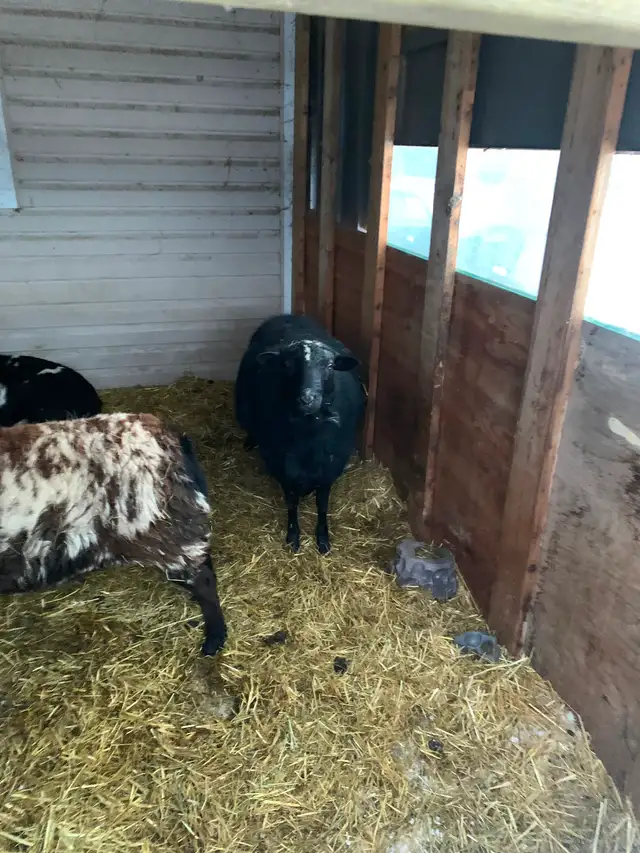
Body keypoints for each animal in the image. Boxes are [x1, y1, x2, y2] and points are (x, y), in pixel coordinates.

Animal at [235, 313, 366, 554]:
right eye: (287, 364)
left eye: (330, 366)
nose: (307, 398)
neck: (309, 436)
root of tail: (287, 316)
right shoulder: (282, 464)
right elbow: (292, 502)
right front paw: (293, 536)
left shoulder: (330, 466)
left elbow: (322, 504)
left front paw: (323, 539)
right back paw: (249, 441)